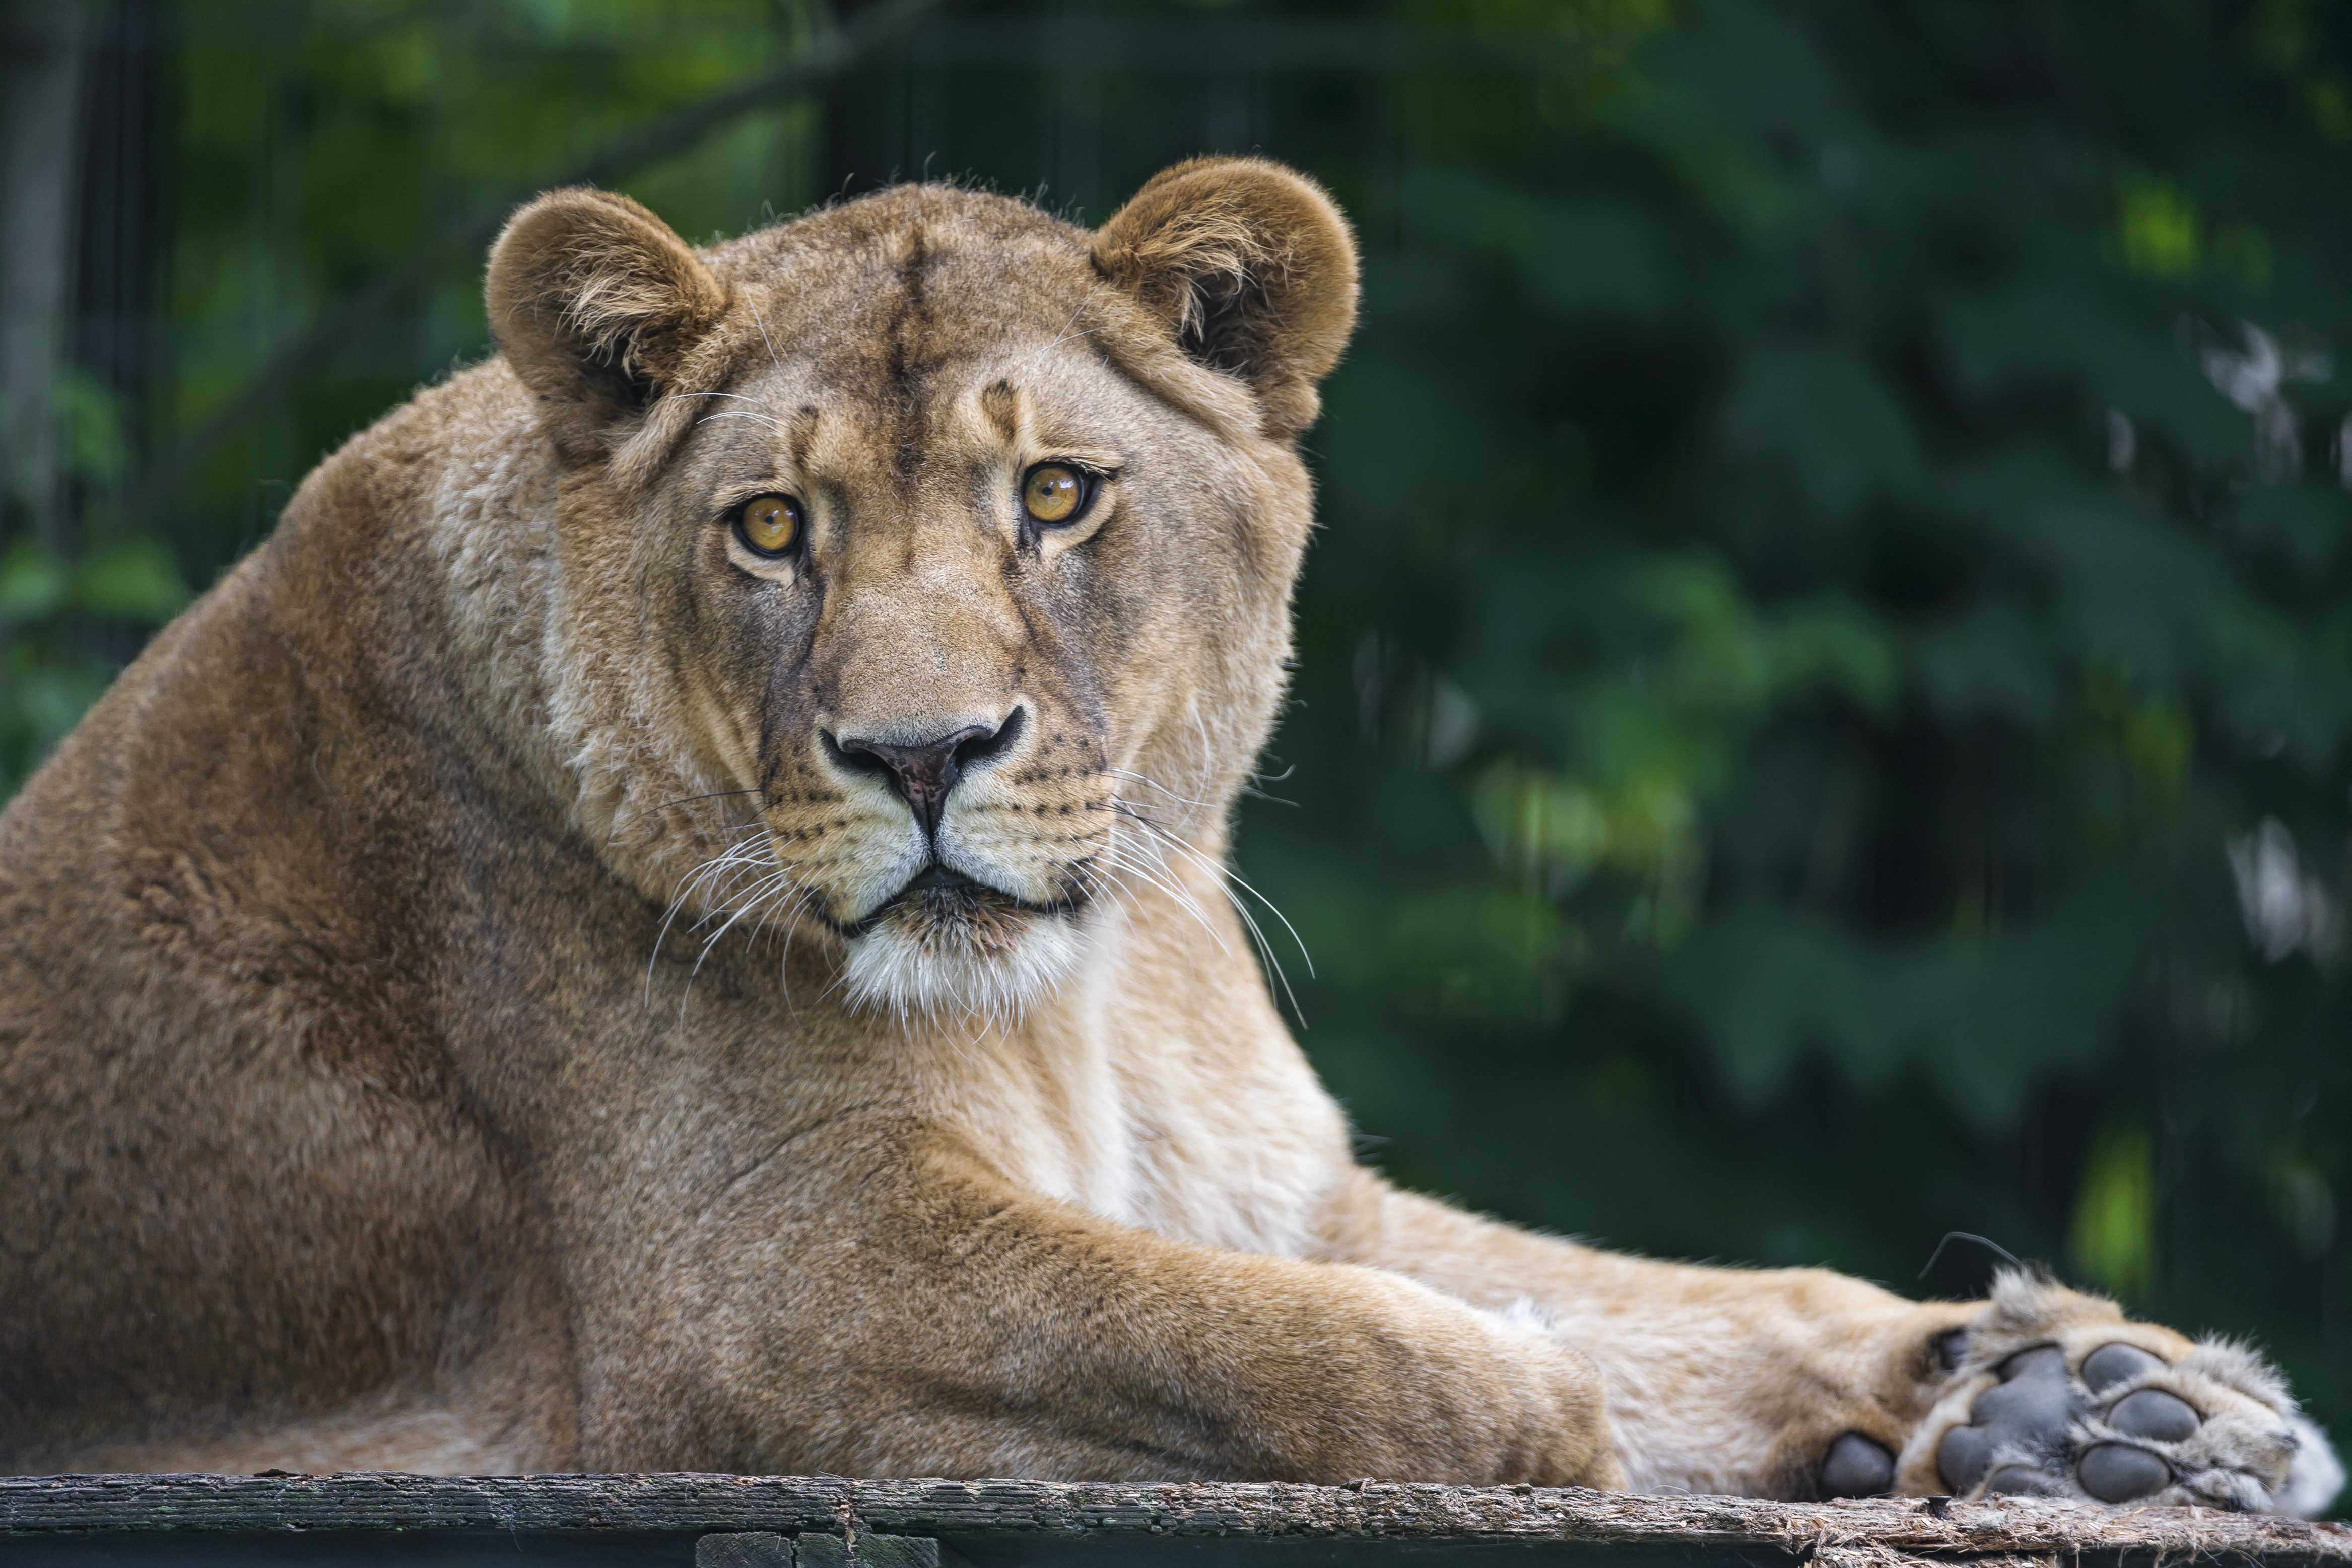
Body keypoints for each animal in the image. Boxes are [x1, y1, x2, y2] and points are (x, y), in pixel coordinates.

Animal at [0, 157, 2338, 1512]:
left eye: (1055, 497)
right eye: (770, 530)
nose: (920, 753)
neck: (1094, 983)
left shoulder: (1283, 1184)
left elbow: (1678, 1288)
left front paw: (2104, 1398)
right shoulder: (756, 1296)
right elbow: (1291, 1344)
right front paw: (1575, 1419)